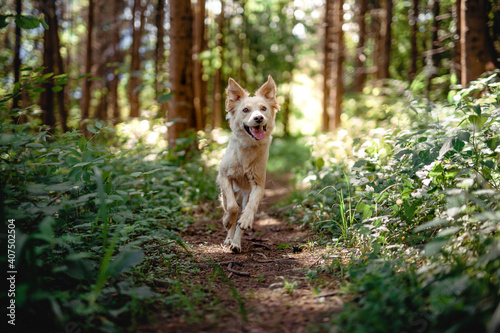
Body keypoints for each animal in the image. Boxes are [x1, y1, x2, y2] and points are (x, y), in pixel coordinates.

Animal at [217, 75, 280, 252]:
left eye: (263, 108)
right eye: (245, 110)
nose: (258, 118)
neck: (248, 147)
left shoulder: (258, 184)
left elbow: (250, 208)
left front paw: (245, 221)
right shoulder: (224, 176)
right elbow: (232, 208)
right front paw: (227, 221)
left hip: (246, 194)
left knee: (243, 213)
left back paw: (236, 243)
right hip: (225, 194)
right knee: (229, 208)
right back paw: (229, 236)